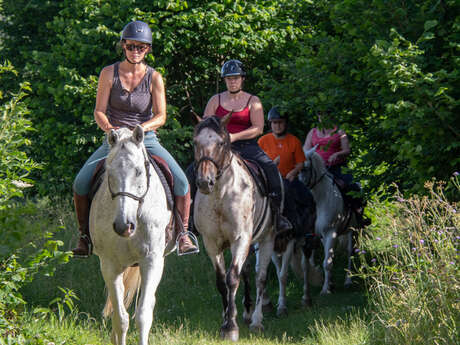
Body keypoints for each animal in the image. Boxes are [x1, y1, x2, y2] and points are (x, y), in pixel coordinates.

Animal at [89, 126, 174, 344]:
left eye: (138, 171)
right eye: (109, 172)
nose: (123, 226)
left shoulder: (151, 261)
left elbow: (143, 316)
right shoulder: (110, 265)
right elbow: (120, 319)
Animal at [192, 114, 274, 340]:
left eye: (221, 143)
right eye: (195, 142)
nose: (205, 182)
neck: (221, 195)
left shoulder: (241, 239)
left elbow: (232, 279)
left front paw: (230, 327)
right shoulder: (212, 243)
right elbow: (222, 281)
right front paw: (226, 319)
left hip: (266, 240)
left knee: (261, 278)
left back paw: (256, 320)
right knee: (246, 272)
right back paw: (245, 312)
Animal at [300, 146, 358, 294]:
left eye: (305, 168)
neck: (322, 198)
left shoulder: (330, 233)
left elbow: (327, 262)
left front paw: (325, 290)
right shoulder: (322, 235)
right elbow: (328, 259)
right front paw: (329, 284)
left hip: (352, 231)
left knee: (350, 253)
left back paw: (348, 280)